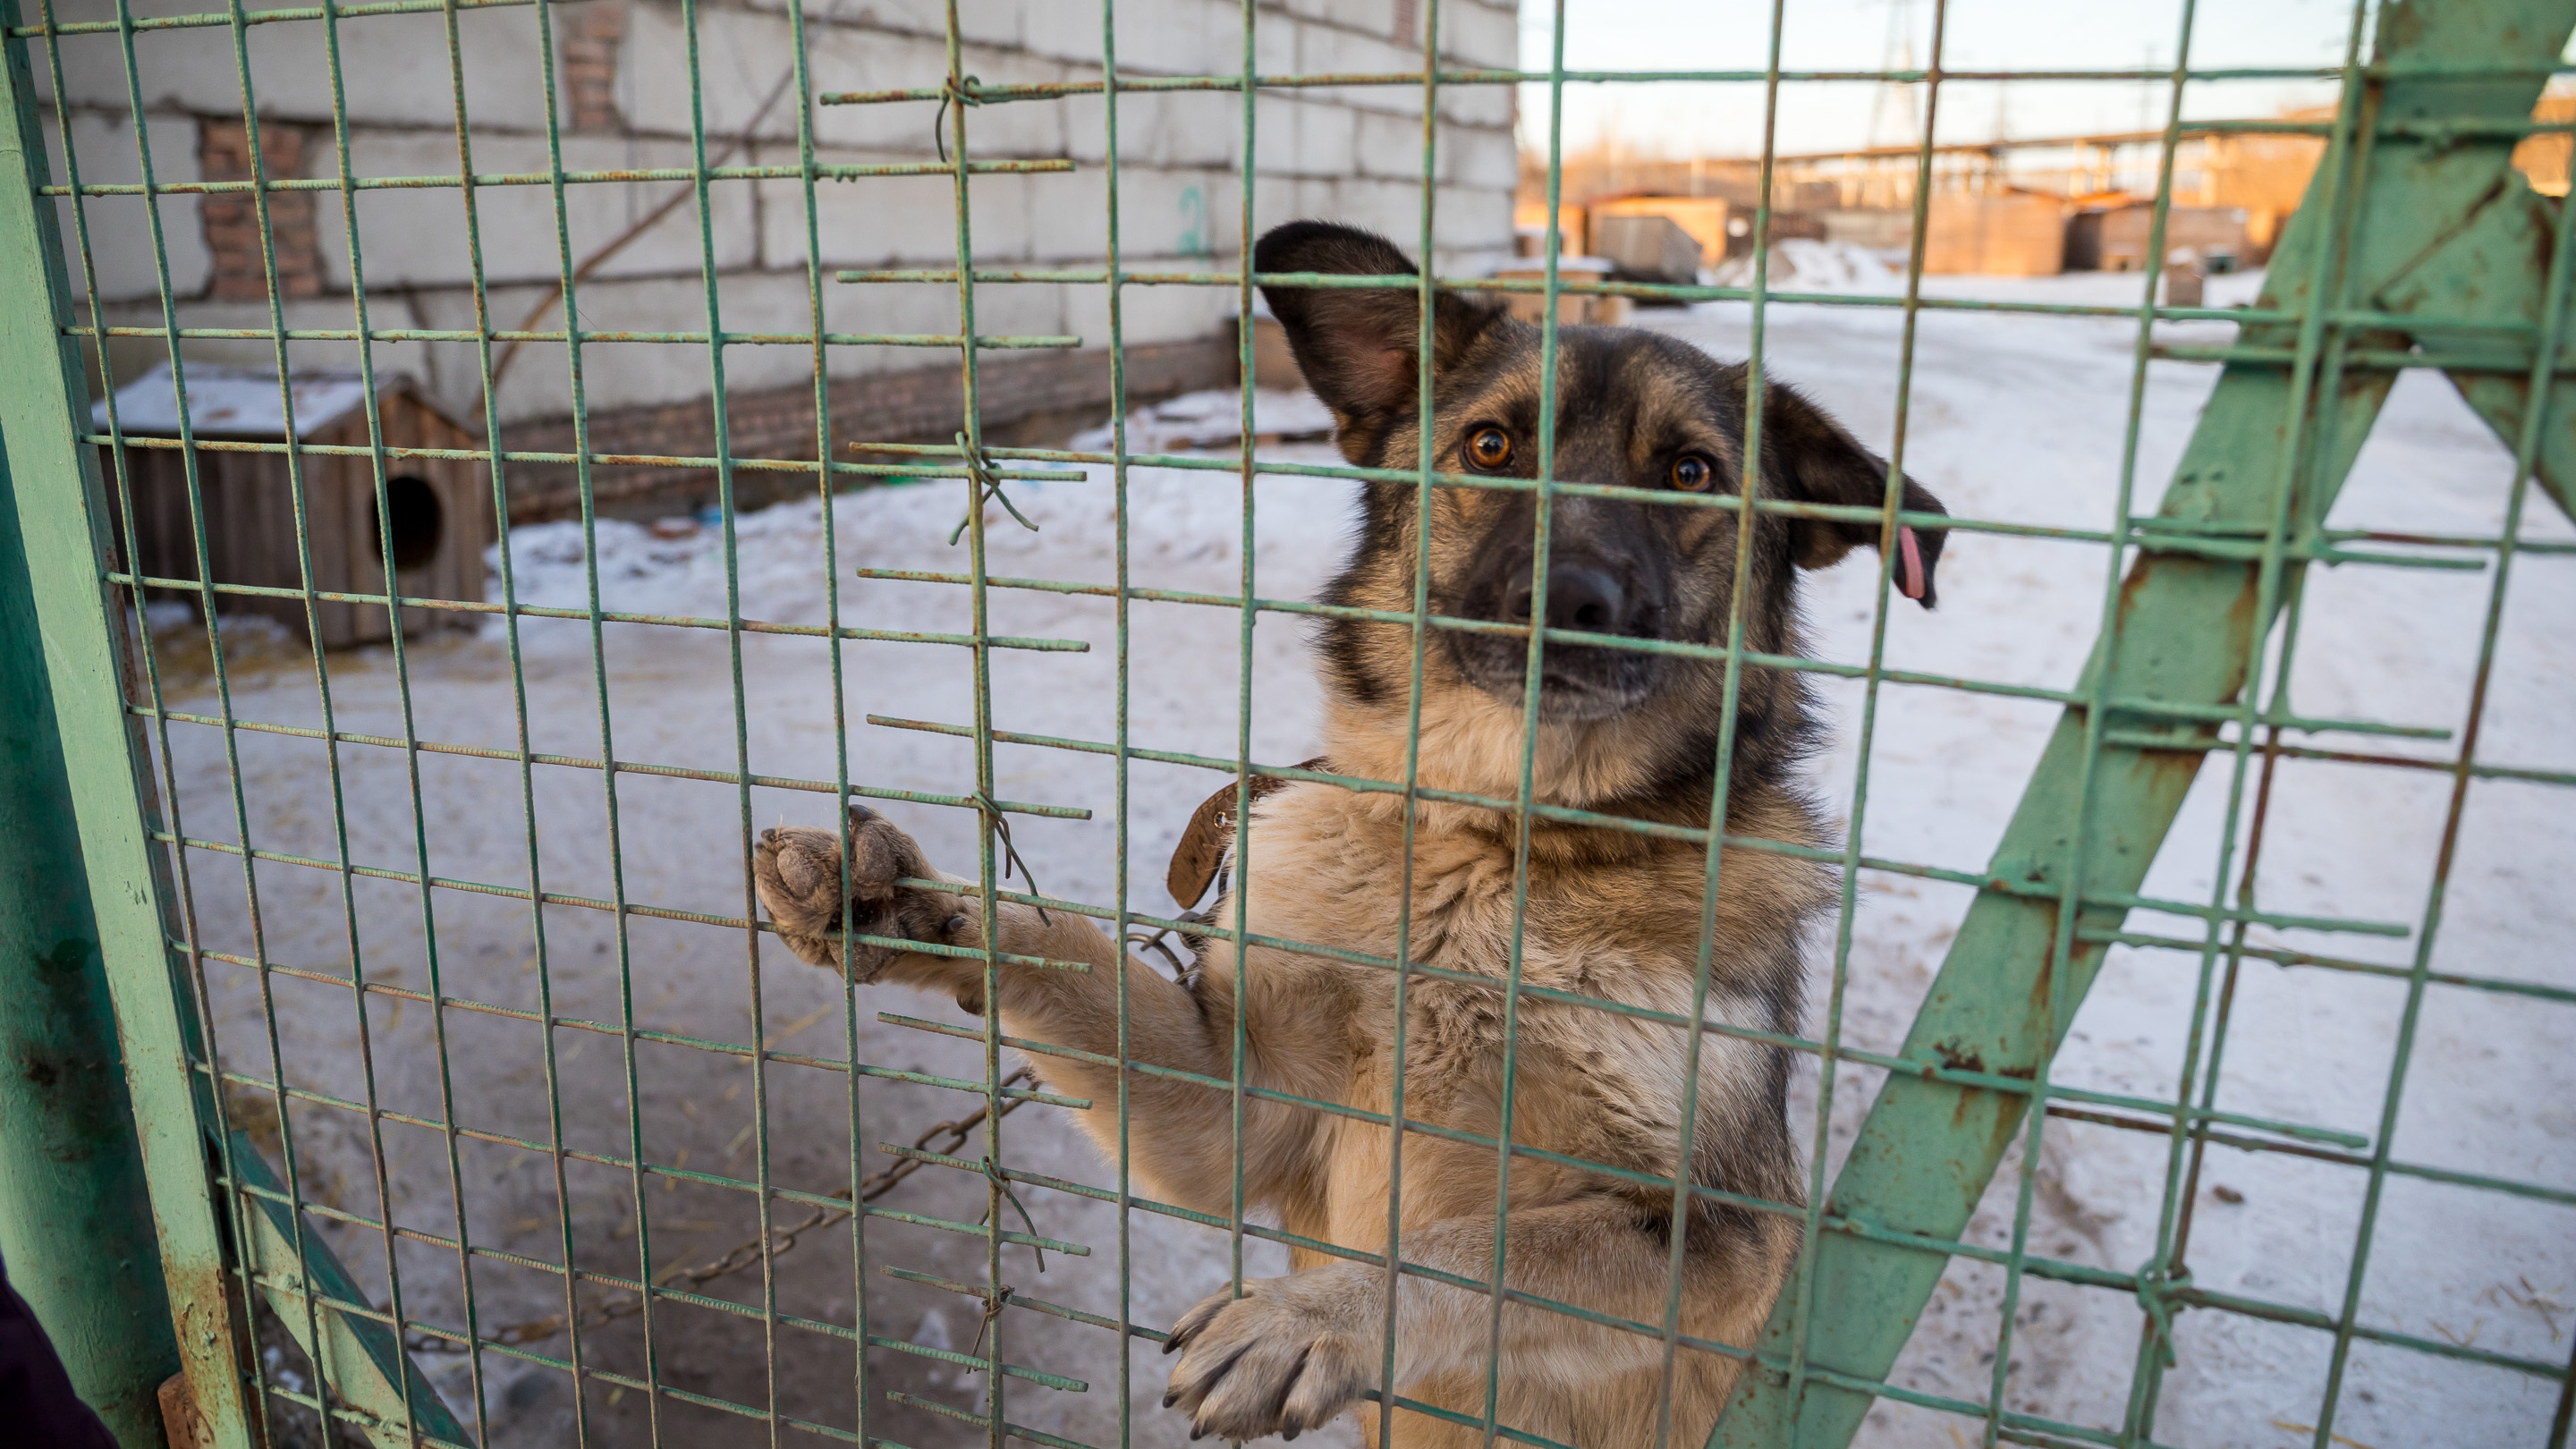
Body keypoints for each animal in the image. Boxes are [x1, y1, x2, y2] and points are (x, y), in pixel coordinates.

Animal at [751, 216, 1936, 1444]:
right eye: (1491, 445)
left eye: (1691, 472)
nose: (1566, 600)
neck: (1488, 849)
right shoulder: (1240, 1113)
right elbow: (1064, 952)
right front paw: (912, 907)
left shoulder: (1717, 1240)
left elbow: (1477, 1249)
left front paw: (1308, 1320)